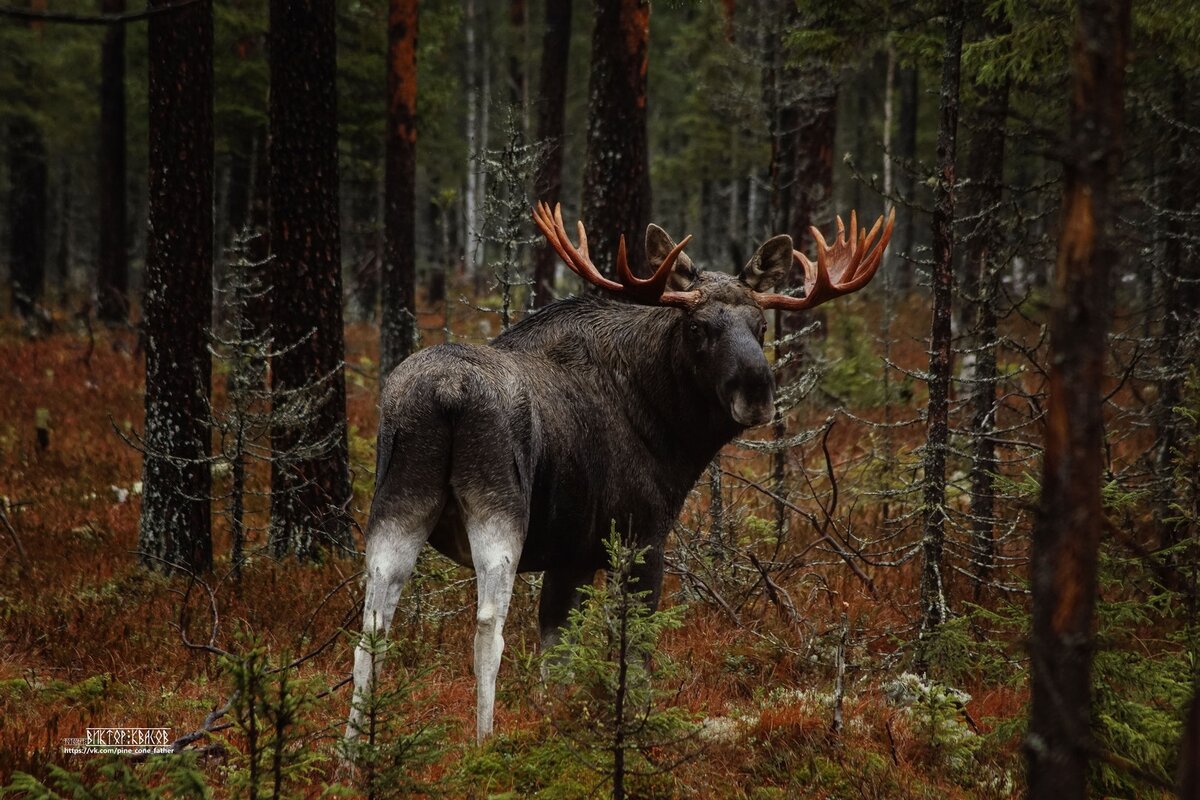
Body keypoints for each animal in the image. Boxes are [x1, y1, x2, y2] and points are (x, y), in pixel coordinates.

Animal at [348, 200, 892, 743]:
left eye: (761, 326)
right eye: (697, 327)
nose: (757, 392)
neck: (668, 429)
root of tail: (448, 393)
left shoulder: (571, 555)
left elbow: (557, 658)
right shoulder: (640, 535)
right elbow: (638, 651)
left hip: (398, 499)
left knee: (372, 625)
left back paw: (356, 749)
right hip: (497, 507)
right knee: (487, 627)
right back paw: (484, 741)